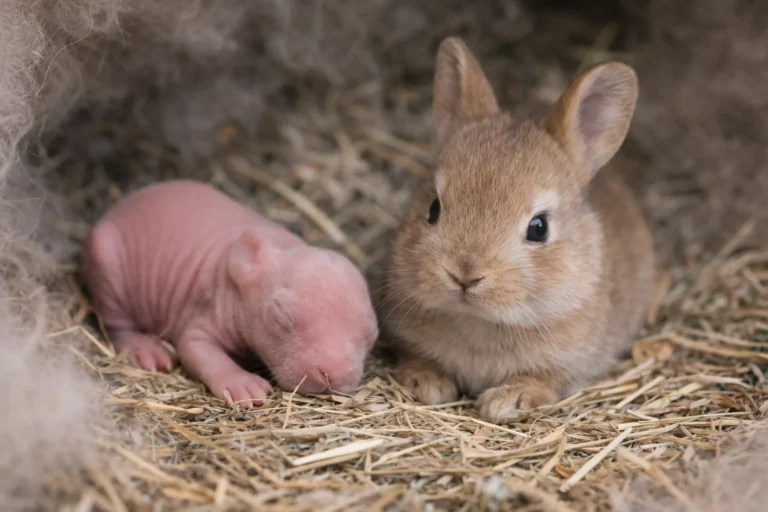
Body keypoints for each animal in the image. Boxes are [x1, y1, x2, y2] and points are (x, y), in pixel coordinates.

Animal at [379, 36, 655, 423]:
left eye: (539, 228)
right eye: (433, 208)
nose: (465, 275)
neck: (480, 321)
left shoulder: (565, 363)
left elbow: (542, 381)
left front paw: (506, 402)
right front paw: (427, 383)